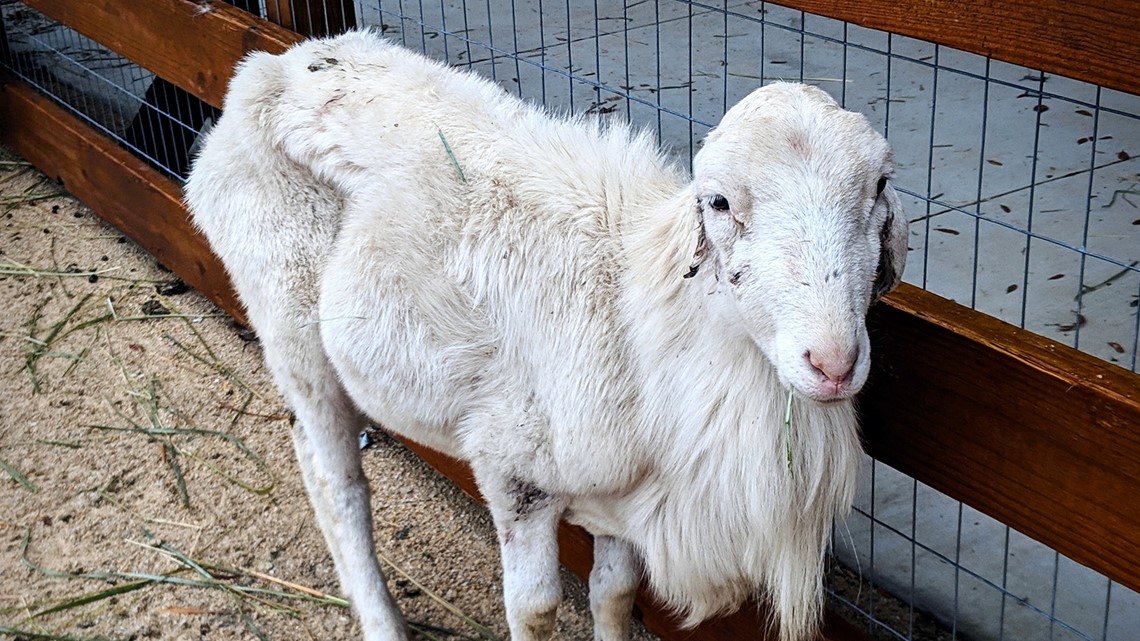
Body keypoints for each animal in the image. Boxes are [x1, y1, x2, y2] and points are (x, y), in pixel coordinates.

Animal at [184, 28, 907, 638]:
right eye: (719, 202)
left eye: (879, 185)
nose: (833, 362)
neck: (643, 322)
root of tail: (272, 64)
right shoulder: (510, 471)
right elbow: (533, 609)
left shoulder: (628, 502)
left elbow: (615, 594)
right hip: (290, 324)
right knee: (337, 483)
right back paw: (380, 617)